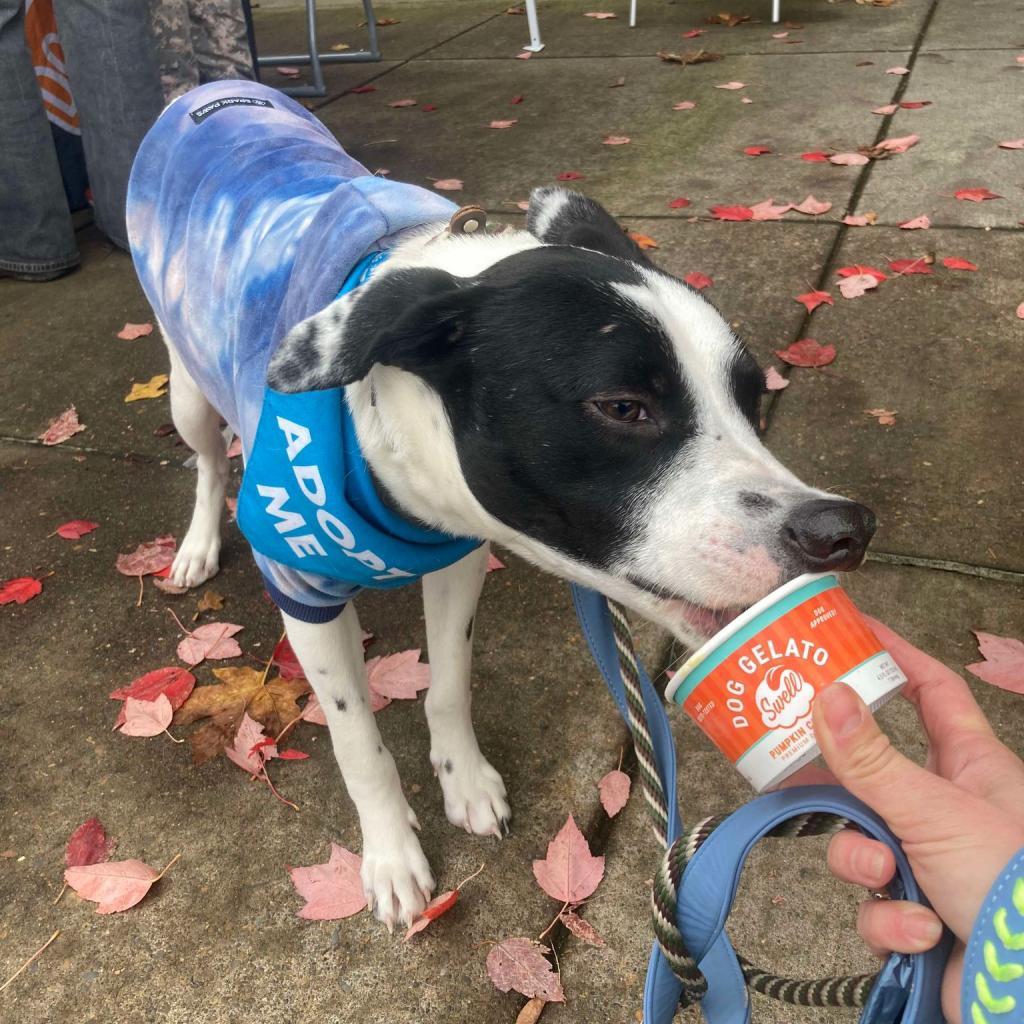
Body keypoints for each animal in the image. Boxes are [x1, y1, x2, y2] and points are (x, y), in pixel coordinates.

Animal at [161, 188, 872, 933]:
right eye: (623, 407)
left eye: (752, 399)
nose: (846, 529)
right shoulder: (303, 585)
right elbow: (358, 742)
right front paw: (390, 854)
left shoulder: (458, 556)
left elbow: (448, 685)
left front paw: (465, 780)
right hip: (187, 394)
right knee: (209, 461)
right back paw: (196, 546)